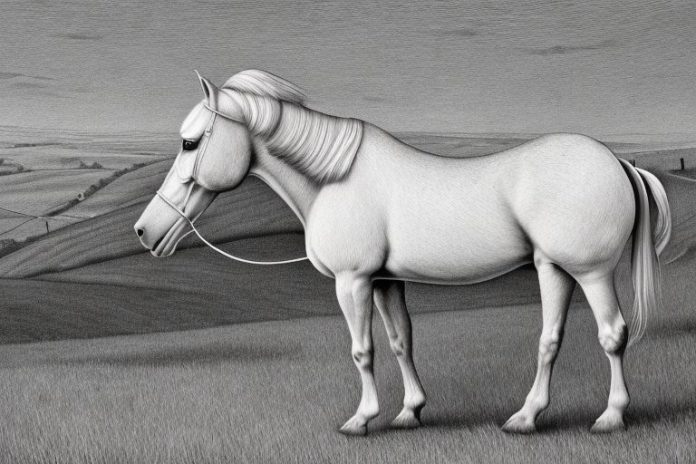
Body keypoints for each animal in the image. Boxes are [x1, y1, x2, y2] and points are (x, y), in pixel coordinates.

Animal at [134, 70, 671, 436]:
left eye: (190, 143)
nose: (144, 231)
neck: (335, 179)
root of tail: (616, 161)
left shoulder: (351, 282)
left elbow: (362, 350)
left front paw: (361, 419)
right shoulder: (384, 280)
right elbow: (399, 342)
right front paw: (409, 411)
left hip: (591, 271)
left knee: (612, 335)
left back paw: (610, 416)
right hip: (553, 268)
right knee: (551, 339)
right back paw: (525, 417)